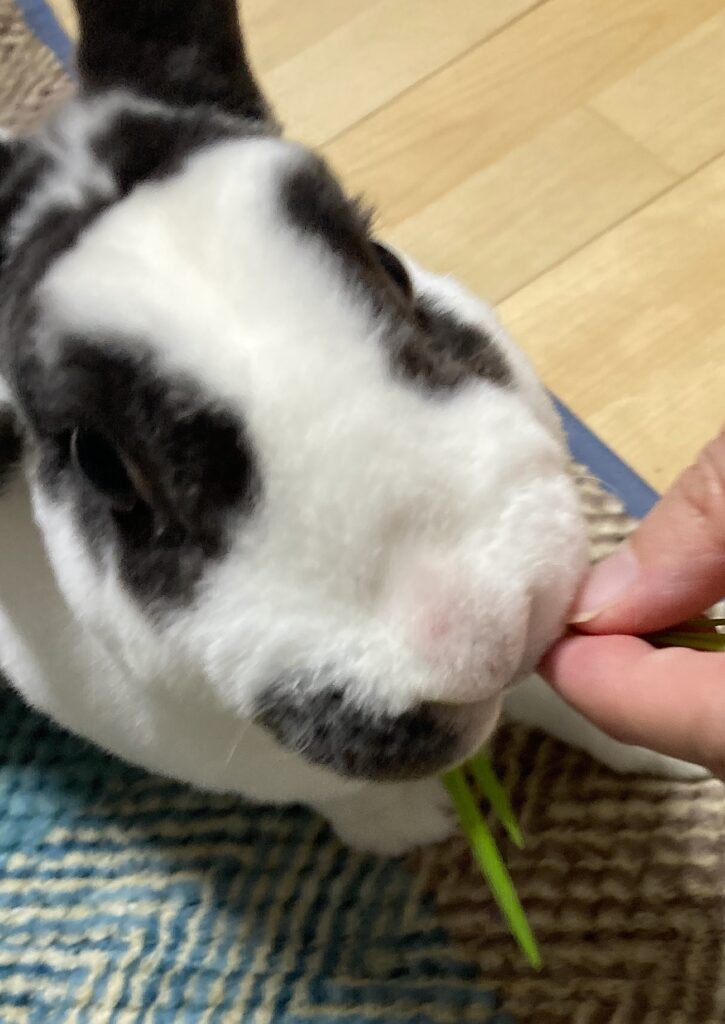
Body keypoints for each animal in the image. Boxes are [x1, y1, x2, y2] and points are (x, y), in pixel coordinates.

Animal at [0, 2, 704, 856]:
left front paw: (660, 755)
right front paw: (411, 828)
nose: (490, 631)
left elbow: (558, 689)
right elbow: (338, 793)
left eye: (388, 264)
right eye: (97, 462)